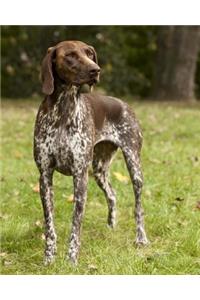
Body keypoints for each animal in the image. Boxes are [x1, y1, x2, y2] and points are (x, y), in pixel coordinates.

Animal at [33, 40, 148, 264]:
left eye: (89, 53)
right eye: (70, 55)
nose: (96, 70)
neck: (64, 109)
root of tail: (123, 103)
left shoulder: (80, 176)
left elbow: (75, 225)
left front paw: (71, 260)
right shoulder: (45, 176)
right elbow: (49, 225)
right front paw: (49, 258)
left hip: (133, 165)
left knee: (138, 207)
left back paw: (141, 238)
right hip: (98, 170)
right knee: (112, 195)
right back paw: (111, 227)